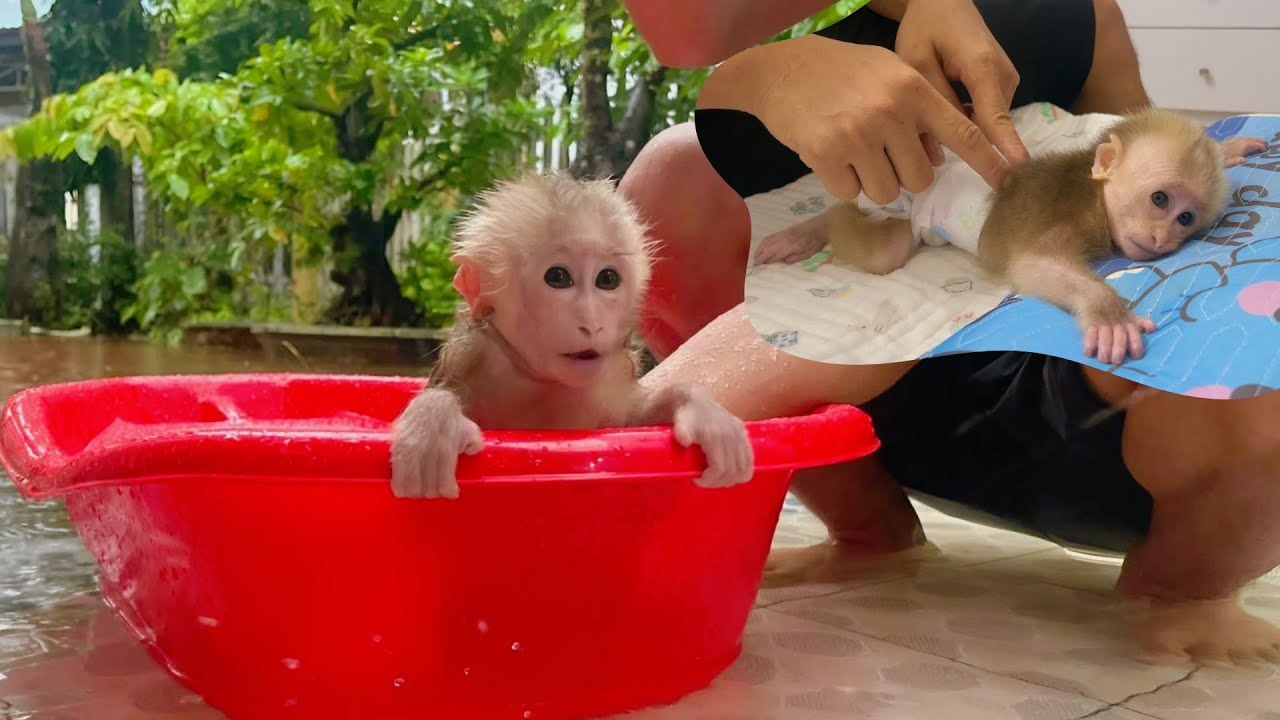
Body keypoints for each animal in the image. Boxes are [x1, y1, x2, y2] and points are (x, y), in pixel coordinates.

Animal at [389, 171, 755, 500]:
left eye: (607, 279)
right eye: (558, 277)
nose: (592, 323)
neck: (540, 379)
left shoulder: (609, 383)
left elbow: (633, 418)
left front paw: (698, 408)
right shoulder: (474, 356)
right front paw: (434, 420)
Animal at [754, 106, 1268, 365]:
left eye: (1186, 219)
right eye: (1159, 200)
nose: (1163, 240)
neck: (1095, 195)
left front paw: (1227, 147)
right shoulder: (1074, 215)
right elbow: (1030, 264)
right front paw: (1107, 313)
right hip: (895, 188)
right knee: (884, 249)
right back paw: (814, 225)